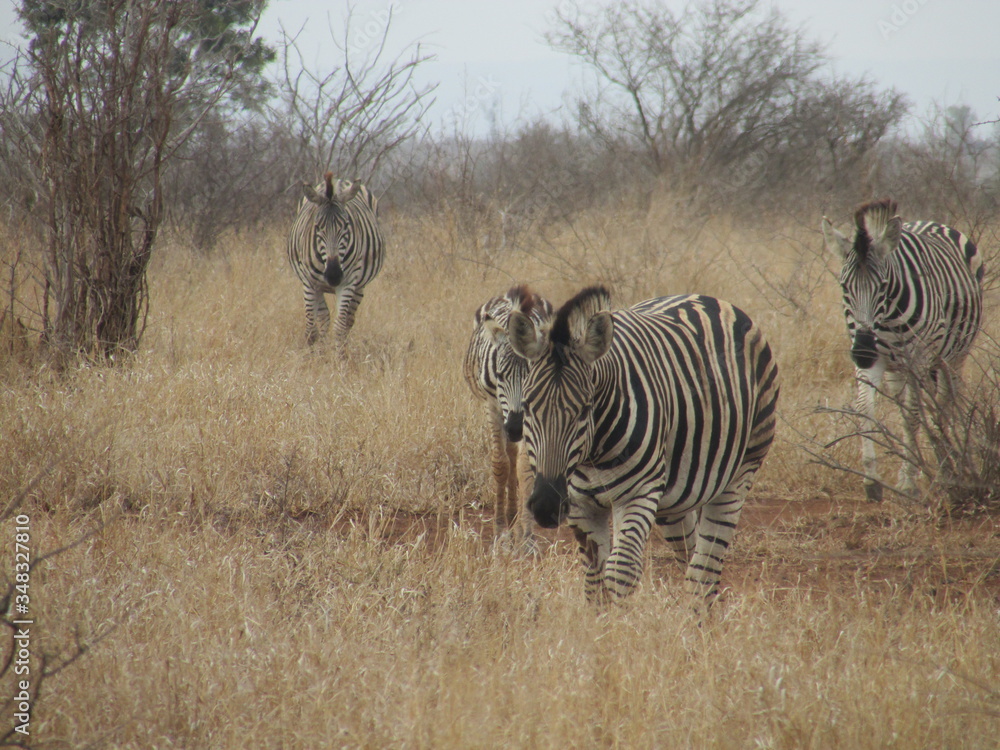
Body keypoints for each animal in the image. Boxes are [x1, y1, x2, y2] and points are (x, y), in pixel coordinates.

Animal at [286, 173, 385, 347]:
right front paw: (312, 354)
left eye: (346, 225)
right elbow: (311, 330)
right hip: (317, 286)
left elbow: (339, 327)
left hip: (359, 286)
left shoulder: (348, 282)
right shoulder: (309, 282)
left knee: (347, 321)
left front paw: (340, 355)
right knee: (323, 319)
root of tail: (338, 180)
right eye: (317, 227)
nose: (333, 275)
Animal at [463, 285, 553, 551]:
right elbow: (500, 463)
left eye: (532, 377)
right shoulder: (491, 405)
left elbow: (525, 468)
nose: (515, 428)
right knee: (508, 454)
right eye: (501, 375)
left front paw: (527, 537)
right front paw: (501, 530)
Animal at [507, 286, 780, 606]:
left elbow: (620, 570)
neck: (593, 453)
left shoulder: (638, 492)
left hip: (741, 471)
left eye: (585, 410)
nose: (547, 506)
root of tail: (708, 298)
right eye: (528, 406)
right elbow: (594, 578)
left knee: (705, 567)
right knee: (689, 551)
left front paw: (617, 621)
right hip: (674, 499)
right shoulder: (579, 502)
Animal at [822, 199, 984, 502]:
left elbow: (912, 416)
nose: (862, 352)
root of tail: (932, 222)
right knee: (917, 403)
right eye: (844, 287)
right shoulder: (873, 358)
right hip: (898, 367)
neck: (884, 320)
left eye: (882, 286)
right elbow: (866, 408)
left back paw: (946, 467)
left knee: (941, 403)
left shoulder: (918, 358)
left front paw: (908, 481)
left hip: (953, 355)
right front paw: (872, 480)